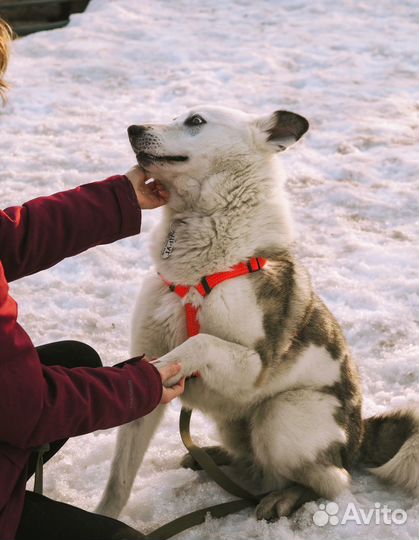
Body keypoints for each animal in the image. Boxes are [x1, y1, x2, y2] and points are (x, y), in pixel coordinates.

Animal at [97, 106, 418, 524]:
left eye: (195, 120)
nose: (133, 128)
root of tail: (359, 438)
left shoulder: (254, 367)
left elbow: (200, 341)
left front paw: (169, 364)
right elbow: (120, 475)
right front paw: (104, 518)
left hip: (279, 415)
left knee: (332, 480)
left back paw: (285, 497)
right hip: (236, 423)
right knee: (255, 463)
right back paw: (215, 457)